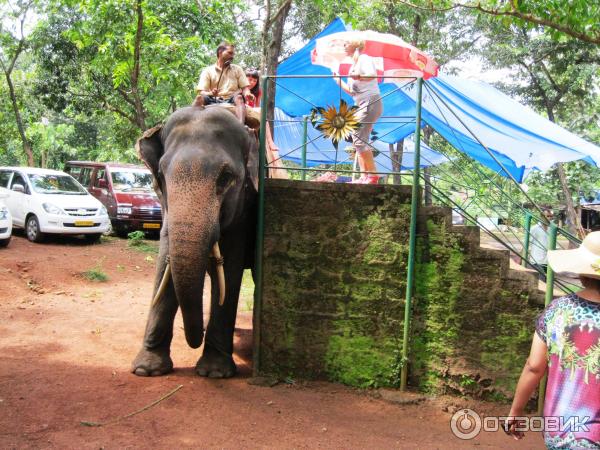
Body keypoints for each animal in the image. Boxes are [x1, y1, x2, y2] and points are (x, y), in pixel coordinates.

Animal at [131, 106, 258, 380]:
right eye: (161, 176)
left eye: (226, 177)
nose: (196, 338)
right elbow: (165, 264)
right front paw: (147, 370)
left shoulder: (244, 209)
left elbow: (229, 269)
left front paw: (214, 373)